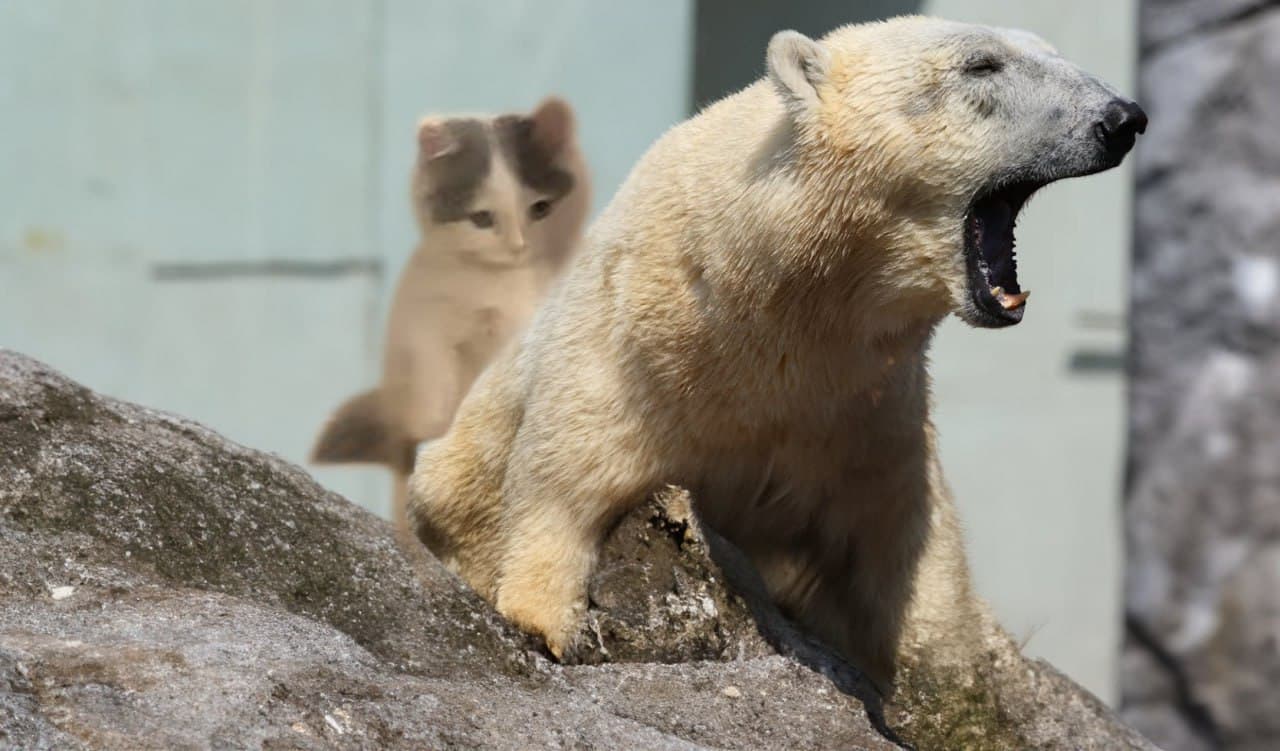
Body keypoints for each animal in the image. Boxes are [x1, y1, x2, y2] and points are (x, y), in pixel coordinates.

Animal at [406, 16, 1145, 691]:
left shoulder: (868, 415)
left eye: (1052, 50)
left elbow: (911, 552)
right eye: (982, 64)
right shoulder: (623, 352)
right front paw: (543, 621)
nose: (1124, 117)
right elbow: (561, 476)